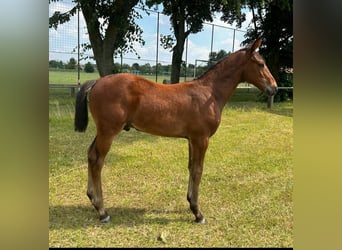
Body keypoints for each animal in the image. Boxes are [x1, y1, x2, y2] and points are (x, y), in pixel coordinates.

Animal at [75, 38, 278, 224]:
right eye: (260, 64)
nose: (274, 88)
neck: (209, 93)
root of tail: (96, 81)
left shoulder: (191, 139)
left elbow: (191, 167)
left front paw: (190, 203)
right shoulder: (201, 139)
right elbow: (198, 170)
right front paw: (197, 213)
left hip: (102, 131)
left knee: (90, 154)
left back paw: (92, 199)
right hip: (108, 132)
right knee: (97, 161)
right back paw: (102, 211)